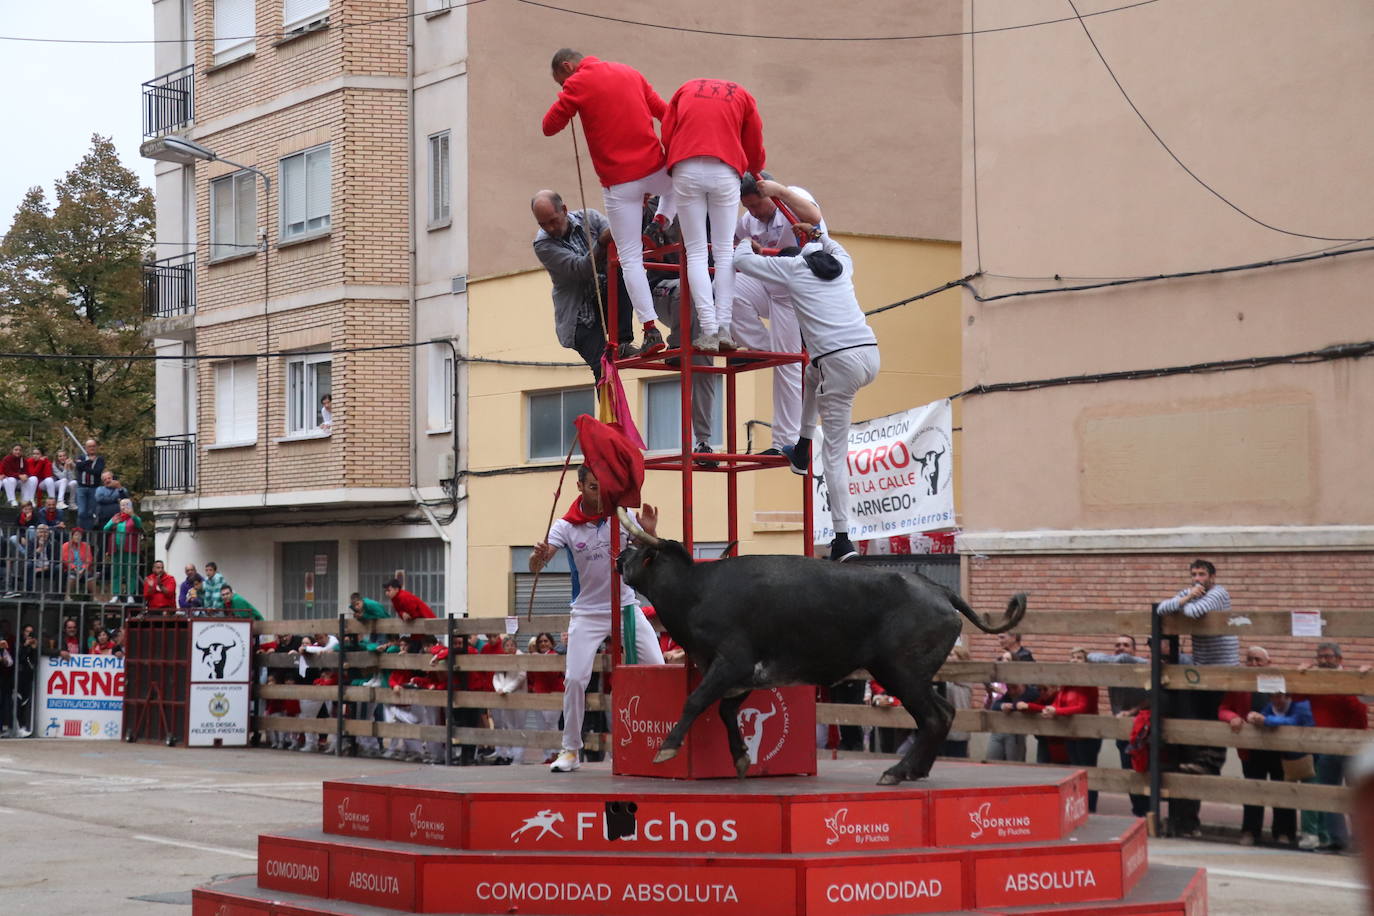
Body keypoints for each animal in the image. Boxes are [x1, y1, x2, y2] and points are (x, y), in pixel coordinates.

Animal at [618, 508, 1027, 791]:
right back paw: (915, 769)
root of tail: (939, 591)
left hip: (901, 672)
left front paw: (667, 747)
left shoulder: (731, 663)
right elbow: (726, 711)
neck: (698, 589)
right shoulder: (743, 675)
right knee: (942, 713)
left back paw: (896, 771)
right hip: (913, 676)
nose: (619, 559)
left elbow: (696, 702)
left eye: (639, 552)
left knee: (933, 717)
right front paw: (740, 756)